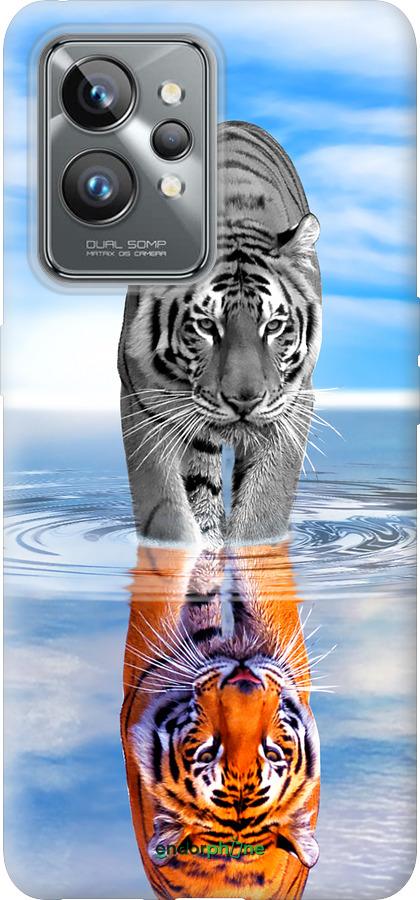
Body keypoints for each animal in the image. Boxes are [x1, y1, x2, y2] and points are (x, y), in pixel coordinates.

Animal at [118, 121, 322, 548]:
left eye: (273, 326)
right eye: (206, 325)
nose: (245, 401)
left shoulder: (293, 404)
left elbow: (263, 509)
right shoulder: (142, 402)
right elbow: (166, 511)